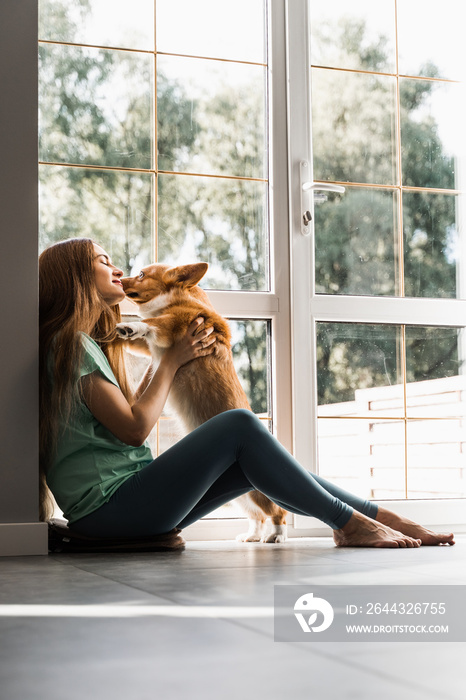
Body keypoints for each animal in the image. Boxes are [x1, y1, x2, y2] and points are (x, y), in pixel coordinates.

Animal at [114, 262, 286, 540]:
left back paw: (277, 535)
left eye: (141, 274)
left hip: (258, 491)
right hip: (240, 496)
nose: (119, 279)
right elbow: (140, 334)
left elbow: (152, 322)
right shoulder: (148, 347)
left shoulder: (174, 325)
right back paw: (252, 536)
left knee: (277, 510)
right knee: (256, 514)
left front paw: (132, 326)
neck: (178, 298)